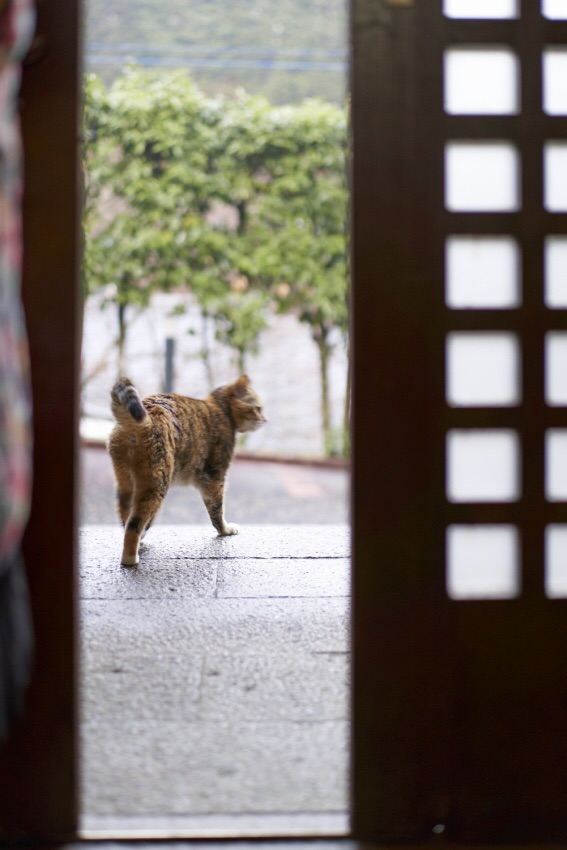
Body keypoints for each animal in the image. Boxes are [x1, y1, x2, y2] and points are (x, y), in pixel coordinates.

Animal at [107, 372, 268, 564]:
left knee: (126, 515)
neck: (222, 410)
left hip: (126, 482)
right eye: (258, 408)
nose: (266, 420)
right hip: (156, 484)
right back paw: (131, 557)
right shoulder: (215, 478)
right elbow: (217, 510)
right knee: (134, 523)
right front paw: (225, 531)